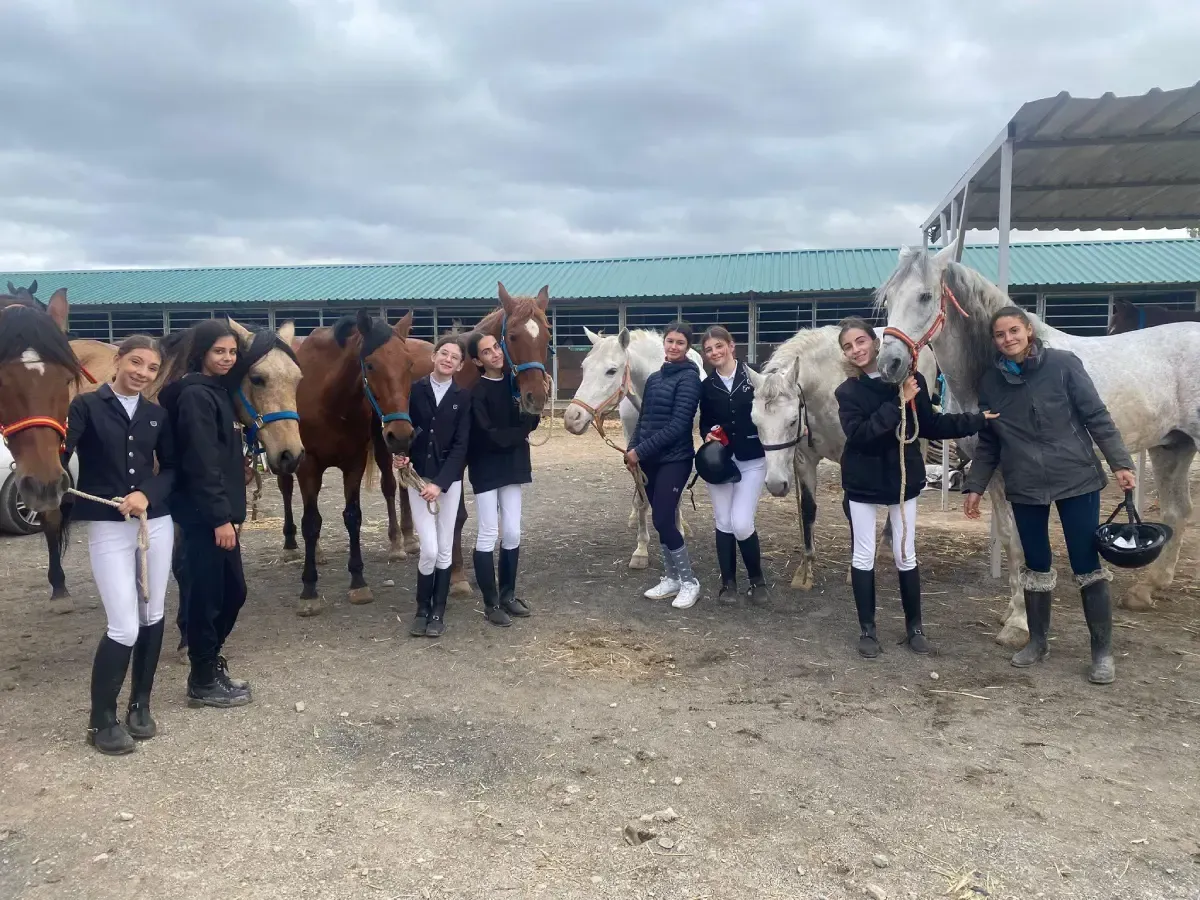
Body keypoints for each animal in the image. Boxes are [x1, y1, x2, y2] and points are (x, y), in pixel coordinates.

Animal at [279, 309, 419, 616]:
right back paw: (292, 546)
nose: (402, 435)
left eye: (409, 364)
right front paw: (309, 590)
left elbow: (353, 517)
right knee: (287, 491)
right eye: (371, 364)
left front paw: (358, 581)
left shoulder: (354, 463)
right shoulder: (308, 465)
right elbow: (311, 522)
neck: (330, 399)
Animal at [561, 327, 704, 569]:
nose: (573, 418)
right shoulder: (632, 448)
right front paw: (641, 549)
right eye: (584, 367)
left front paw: (678, 527)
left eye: (611, 371)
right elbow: (641, 499)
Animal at [745, 329, 937, 589]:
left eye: (793, 420)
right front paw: (805, 571)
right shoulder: (804, 460)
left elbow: (851, 509)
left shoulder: (849, 459)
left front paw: (853, 567)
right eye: (756, 422)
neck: (823, 389)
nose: (776, 485)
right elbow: (808, 509)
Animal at [874, 241, 1200, 646]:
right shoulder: (993, 474)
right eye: (888, 299)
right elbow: (1011, 542)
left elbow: (1024, 543)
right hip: (1171, 447)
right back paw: (1145, 590)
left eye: (925, 296)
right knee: (1177, 512)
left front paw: (1019, 622)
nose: (889, 365)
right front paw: (1014, 616)